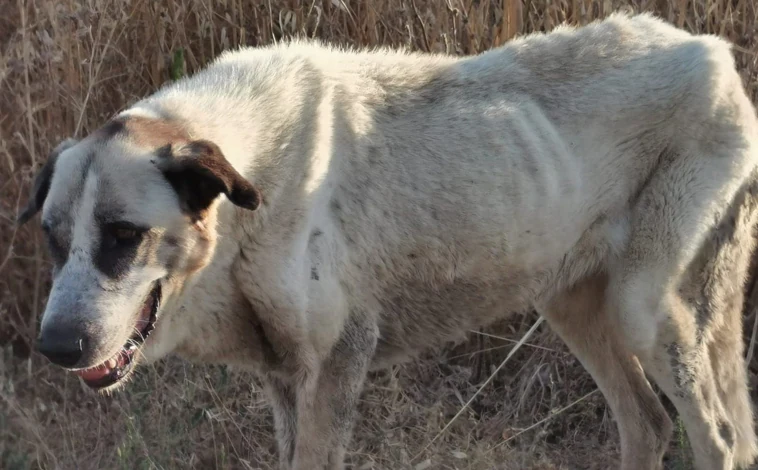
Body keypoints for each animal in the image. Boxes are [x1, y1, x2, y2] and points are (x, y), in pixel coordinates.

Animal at [16, 11, 758, 470]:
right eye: (53, 239)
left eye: (123, 235)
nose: (56, 347)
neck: (248, 200)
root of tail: (713, 52)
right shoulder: (284, 377)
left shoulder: (335, 364)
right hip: (574, 305)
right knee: (649, 423)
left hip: (646, 311)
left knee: (718, 438)